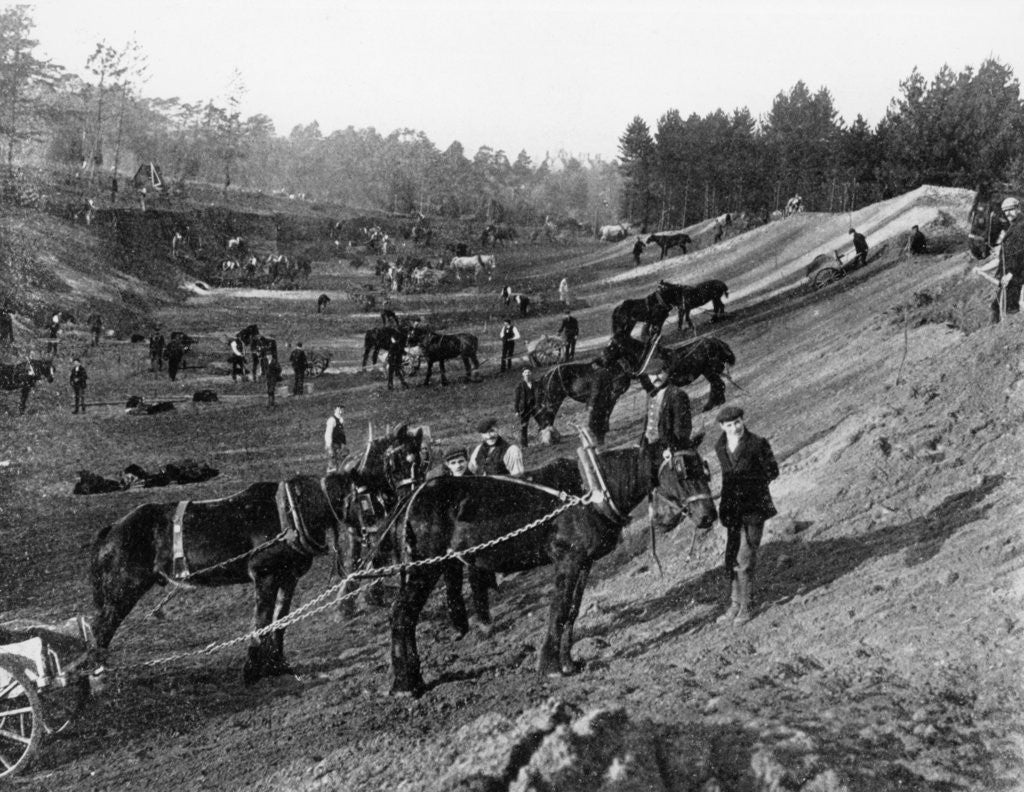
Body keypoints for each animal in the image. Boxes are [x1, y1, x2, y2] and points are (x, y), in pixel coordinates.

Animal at [387, 436, 716, 696]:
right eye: (682, 472)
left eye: (704, 469)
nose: (708, 516)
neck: (591, 491)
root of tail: (412, 498)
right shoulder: (567, 560)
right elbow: (558, 611)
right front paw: (550, 667)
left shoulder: (584, 562)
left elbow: (572, 612)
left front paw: (569, 663)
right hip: (424, 569)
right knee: (402, 616)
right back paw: (407, 684)